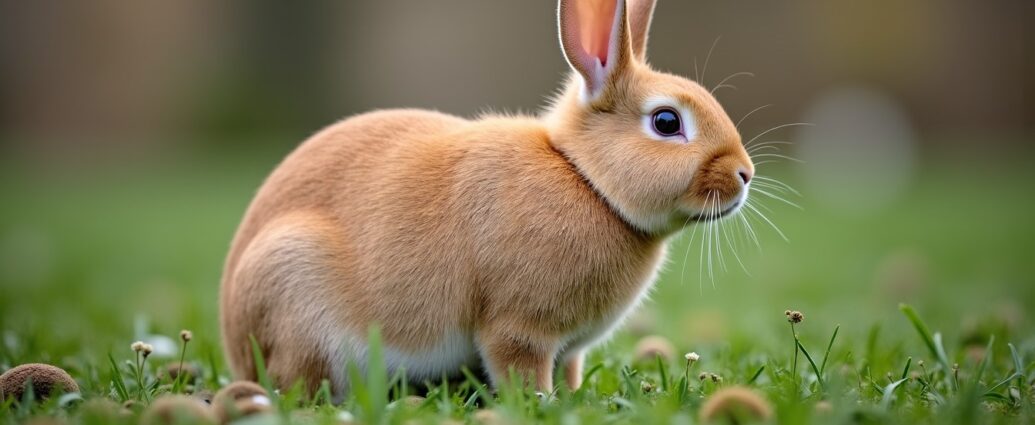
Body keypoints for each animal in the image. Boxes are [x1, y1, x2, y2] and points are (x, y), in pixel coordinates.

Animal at [220, 0, 754, 397]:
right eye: (666, 122)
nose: (744, 175)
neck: (585, 179)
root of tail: (235, 337)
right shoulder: (518, 329)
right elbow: (519, 366)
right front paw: (540, 402)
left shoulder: (570, 348)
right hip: (295, 279)